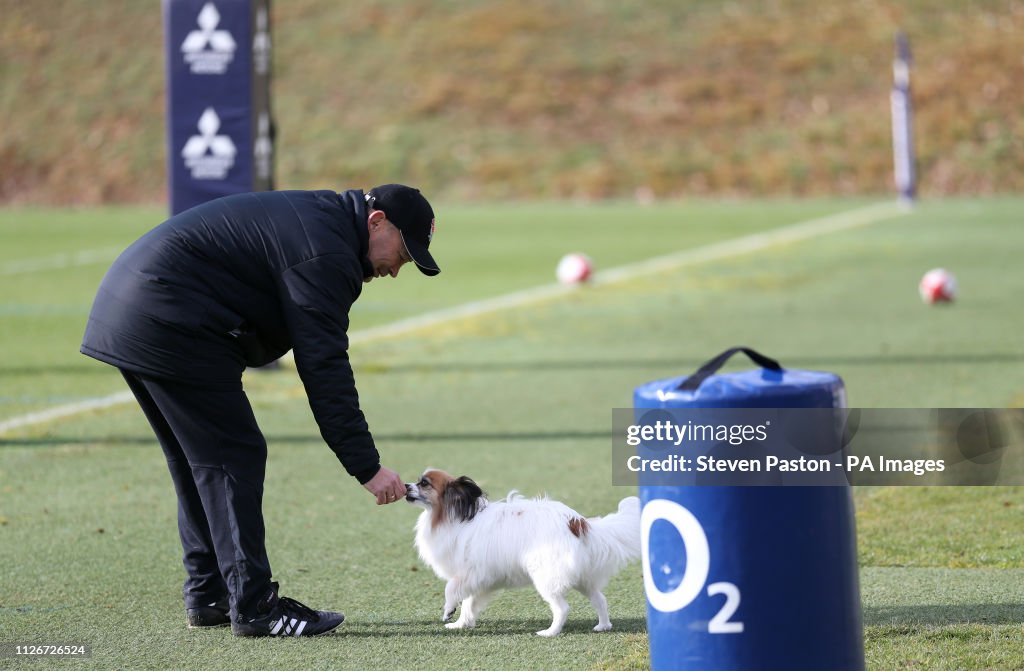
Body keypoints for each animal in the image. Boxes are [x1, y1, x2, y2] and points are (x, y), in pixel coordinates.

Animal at [401, 469, 634, 639]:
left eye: (424, 484)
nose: (404, 486)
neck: (456, 516)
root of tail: (578, 523)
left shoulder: (470, 573)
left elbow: (451, 590)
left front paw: (449, 611)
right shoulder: (477, 579)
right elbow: (468, 602)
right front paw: (461, 624)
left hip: (546, 578)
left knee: (563, 608)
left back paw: (550, 632)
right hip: (582, 579)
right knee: (600, 599)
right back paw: (603, 626)